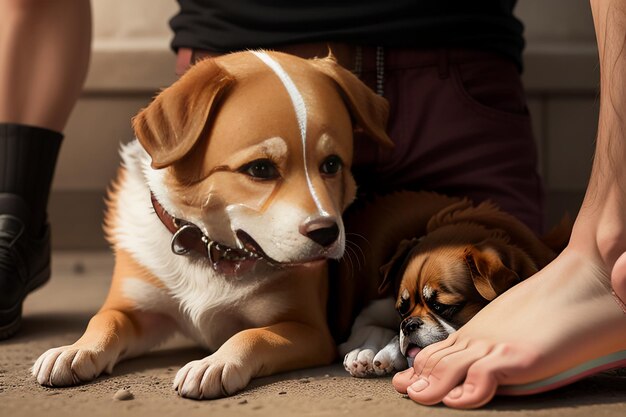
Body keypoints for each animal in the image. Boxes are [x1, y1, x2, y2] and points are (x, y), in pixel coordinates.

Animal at [31, 50, 390, 398]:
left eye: (332, 164)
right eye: (260, 169)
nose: (327, 233)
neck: (212, 253)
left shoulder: (310, 330)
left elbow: (252, 335)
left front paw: (214, 364)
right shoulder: (137, 308)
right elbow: (105, 319)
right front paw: (74, 350)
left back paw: (372, 352)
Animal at [336, 192, 572, 376]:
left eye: (441, 306)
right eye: (402, 310)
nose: (409, 323)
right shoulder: (369, 314)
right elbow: (377, 330)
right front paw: (368, 352)